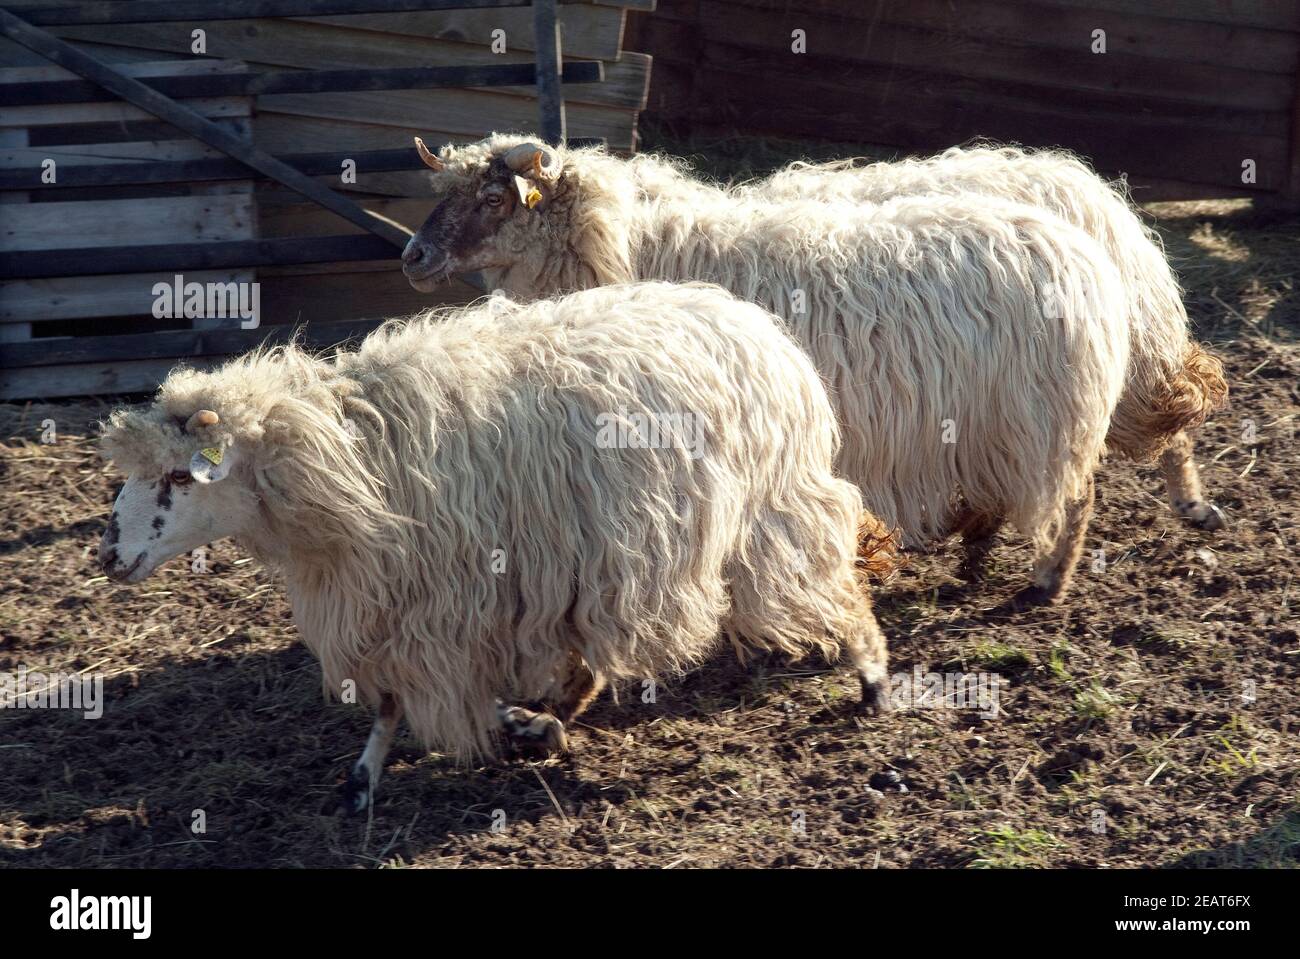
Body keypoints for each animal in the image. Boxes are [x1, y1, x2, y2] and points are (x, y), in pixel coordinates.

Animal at [98, 280, 894, 810]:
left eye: (179, 475)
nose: (108, 557)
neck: (338, 460)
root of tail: (754, 323)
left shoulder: (445, 598)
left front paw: (519, 729)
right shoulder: (395, 598)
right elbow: (390, 704)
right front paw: (365, 777)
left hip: (772, 509)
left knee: (835, 582)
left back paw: (872, 674)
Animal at [400, 132, 1133, 605]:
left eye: (494, 199)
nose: (412, 257)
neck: (633, 248)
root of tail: (1084, 255)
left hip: (1042, 417)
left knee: (1074, 496)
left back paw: (1044, 583)